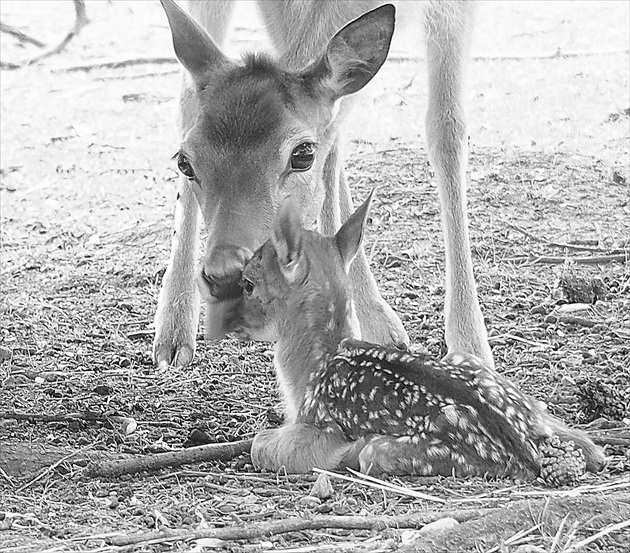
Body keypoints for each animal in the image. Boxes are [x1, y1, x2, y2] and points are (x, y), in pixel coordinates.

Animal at [154, 1, 494, 370]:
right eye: (184, 162)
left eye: (303, 154)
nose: (224, 276)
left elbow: (447, 129)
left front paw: (471, 349)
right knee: (186, 100)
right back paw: (172, 332)